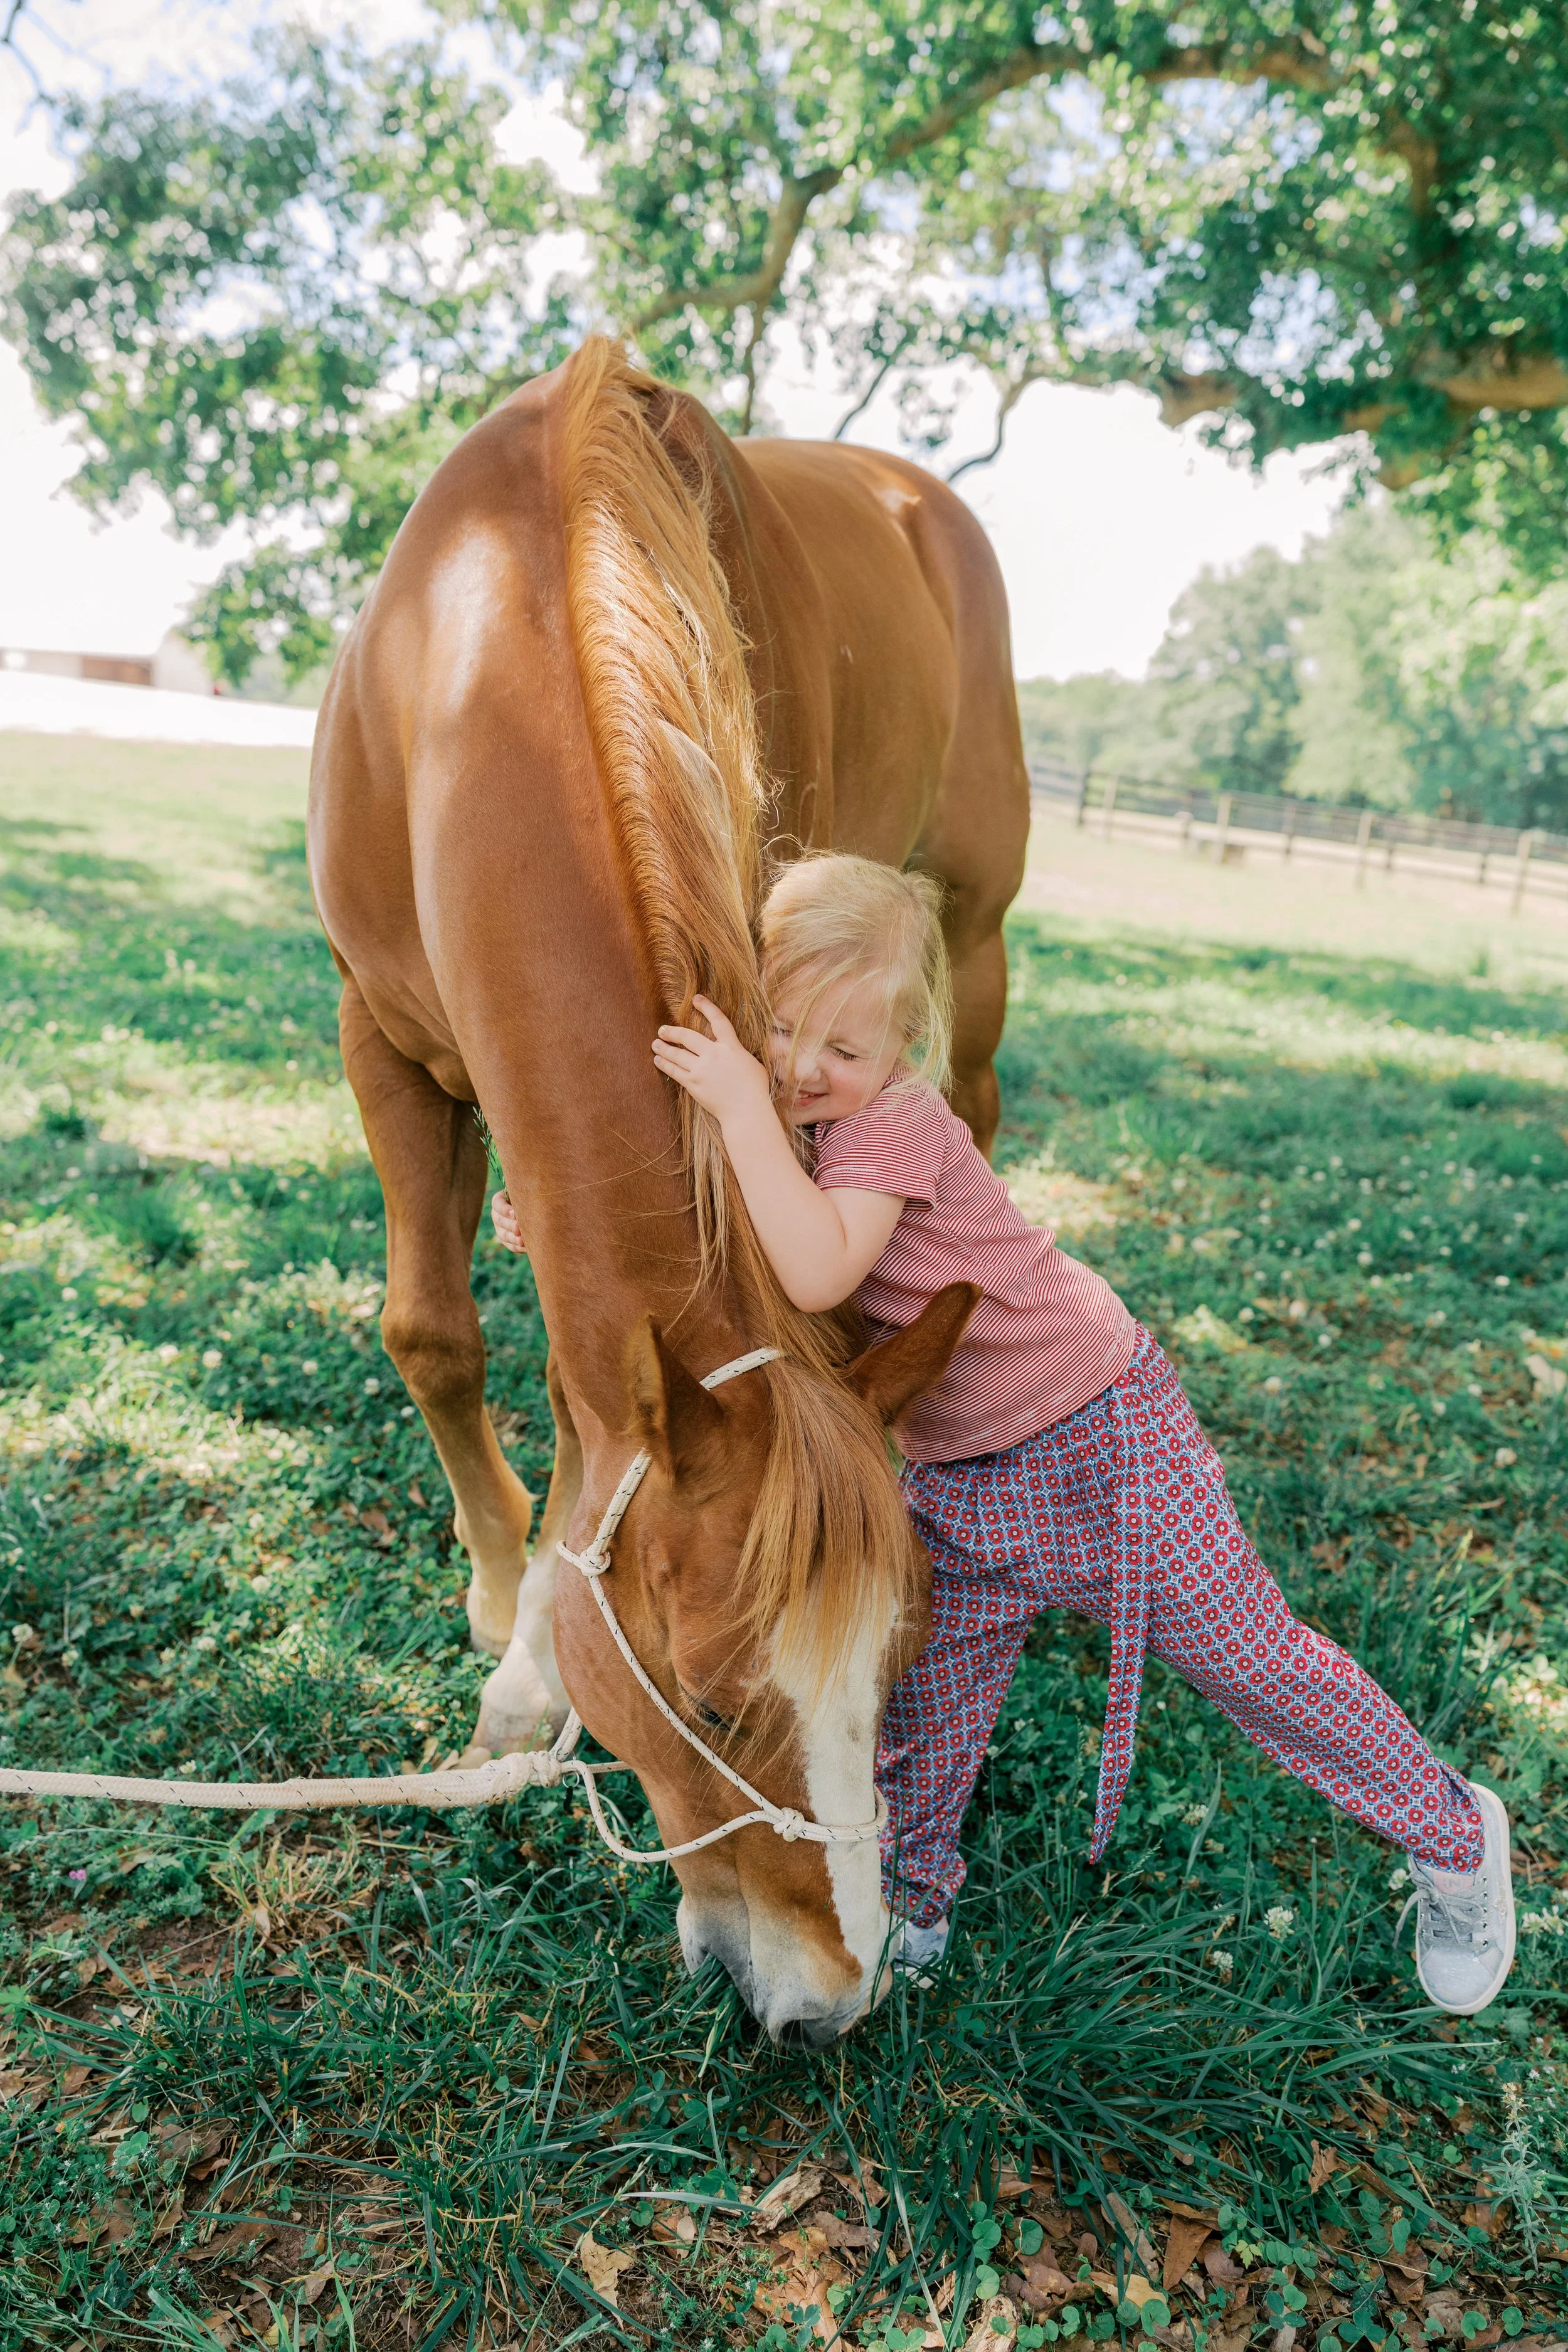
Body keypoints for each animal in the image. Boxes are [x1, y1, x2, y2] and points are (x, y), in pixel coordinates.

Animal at [306, 337, 1029, 2044]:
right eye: (707, 1702)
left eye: (892, 1672)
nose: (838, 1997)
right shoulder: (386, 1038)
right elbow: (437, 1332)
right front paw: (507, 1613)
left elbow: (593, 1413)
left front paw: (531, 1665)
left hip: (970, 925)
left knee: (969, 1106)